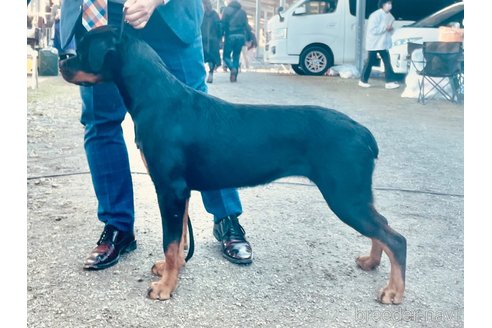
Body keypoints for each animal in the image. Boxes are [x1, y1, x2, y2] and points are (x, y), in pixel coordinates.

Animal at [59, 26, 406, 304]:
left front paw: (165, 287)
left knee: (395, 238)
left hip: (344, 195)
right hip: (353, 195)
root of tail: (364, 134)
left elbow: (170, 240)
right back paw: (371, 262)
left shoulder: (170, 188)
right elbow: (179, 239)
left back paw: (393, 292)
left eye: (85, 46)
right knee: (383, 226)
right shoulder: (181, 191)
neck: (156, 98)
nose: (62, 60)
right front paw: (173, 269)